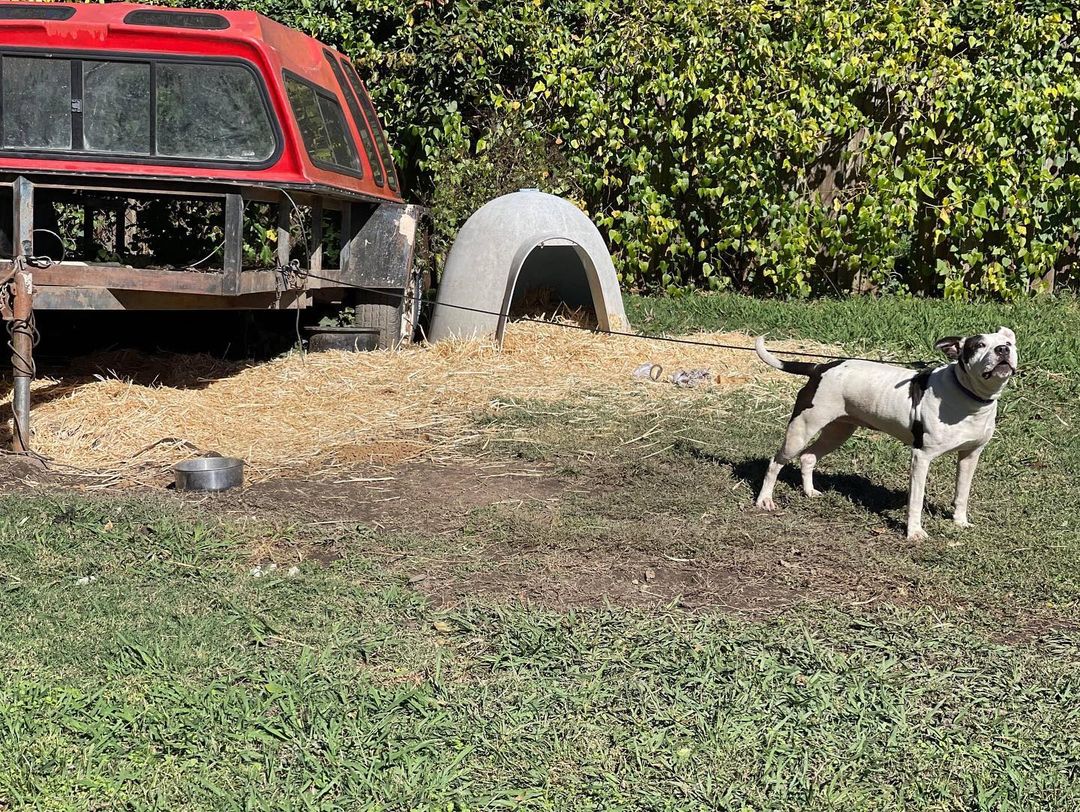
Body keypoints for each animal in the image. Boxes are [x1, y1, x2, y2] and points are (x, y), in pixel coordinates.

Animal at [756, 326, 1015, 542]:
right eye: (978, 345)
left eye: (1008, 343)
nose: (1002, 350)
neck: (969, 396)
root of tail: (820, 368)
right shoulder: (922, 457)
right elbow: (916, 500)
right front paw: (914, 532)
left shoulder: (970, 456)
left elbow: (962, 492)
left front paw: (960, 522)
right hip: (800, 430)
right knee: (775, 463)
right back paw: (764, 500)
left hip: (838, 431)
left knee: (808, 457)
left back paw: (809, 491)